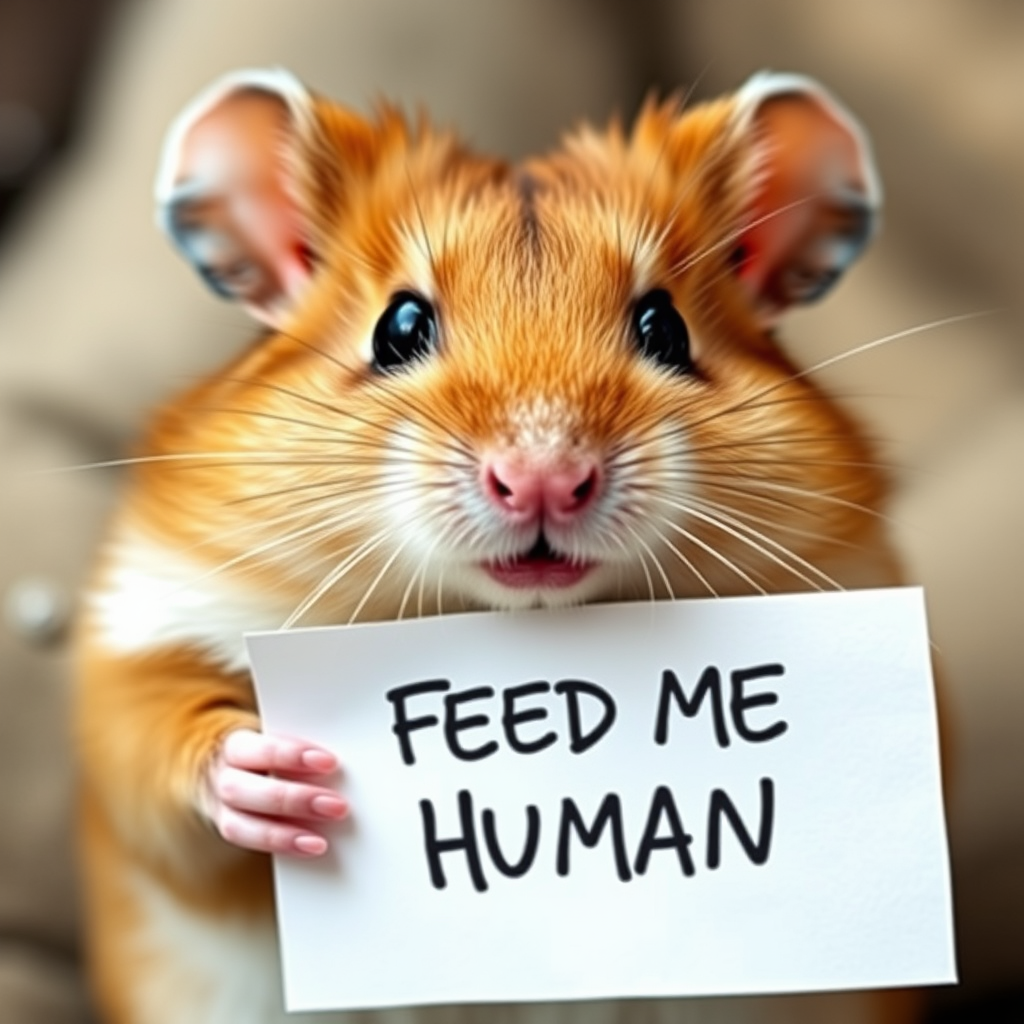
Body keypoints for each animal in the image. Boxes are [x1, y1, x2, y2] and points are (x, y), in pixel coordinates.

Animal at [75, 68, 923, 1024]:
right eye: (399, 326)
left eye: (664, 328)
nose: (543, 478)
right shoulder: (139, 635)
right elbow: (164, 740)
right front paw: (294, 779)